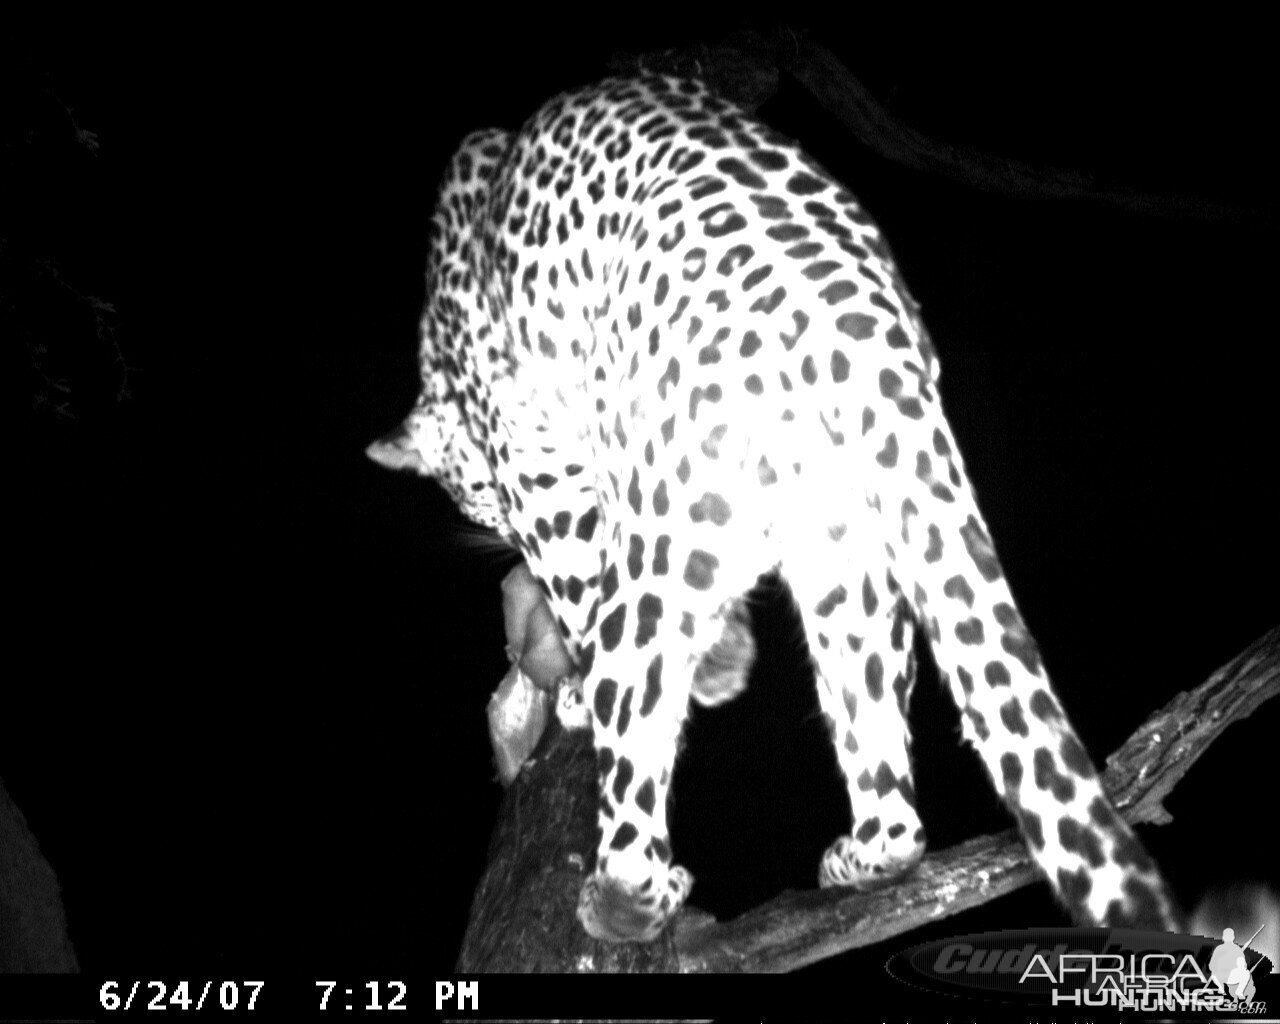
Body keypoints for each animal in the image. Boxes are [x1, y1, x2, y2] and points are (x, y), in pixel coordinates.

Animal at [368, 73, 1177, 942]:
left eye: (481, 500)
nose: (493, 525)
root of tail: (857, 330)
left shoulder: (548, 487)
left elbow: (577, 594)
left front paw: (588, 691)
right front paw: (723, 660)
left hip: (679, 539)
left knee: (632, 740)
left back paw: (625, 902)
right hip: (850, 556)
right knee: (895, 806)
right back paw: (859, 858)